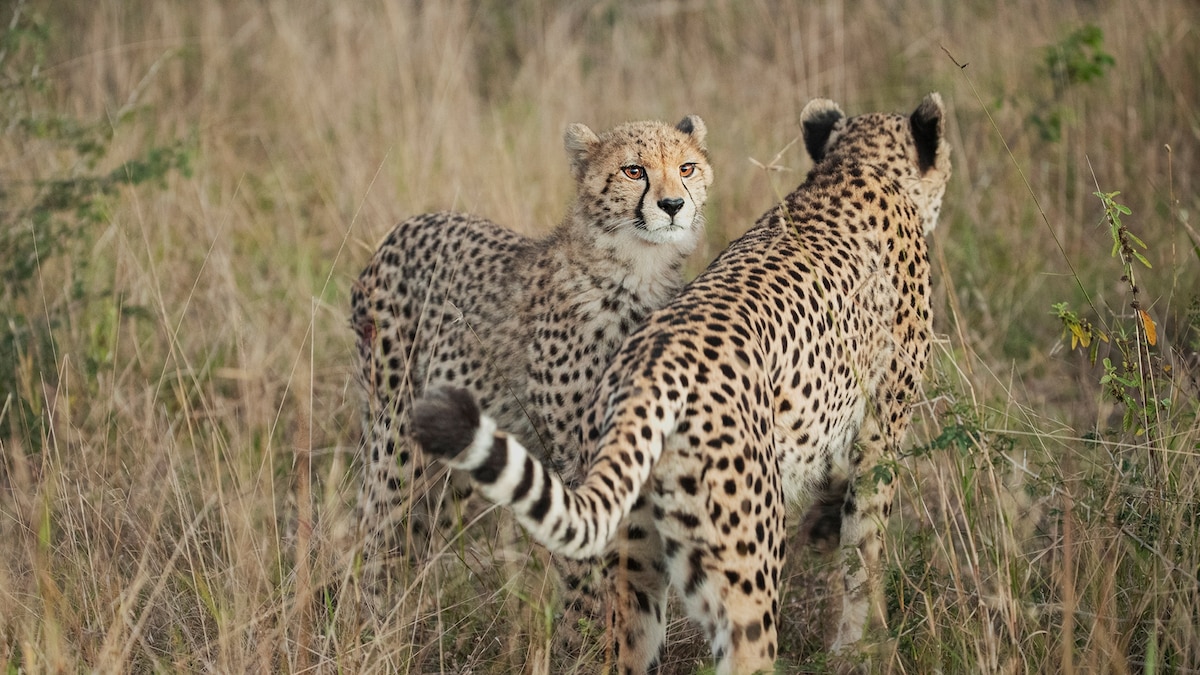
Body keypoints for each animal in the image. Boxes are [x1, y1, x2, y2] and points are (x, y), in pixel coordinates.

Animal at [352, 115, 710, 571]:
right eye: (634, 171)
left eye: (686, 168)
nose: (673, 205)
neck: (639, 268)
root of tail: (404, 228)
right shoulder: (573, 456)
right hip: (395, 429)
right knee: (373, 520)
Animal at [412, 91, 955, 667]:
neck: (856, 167)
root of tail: (649, 367)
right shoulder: (880, 431)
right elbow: (864, 551)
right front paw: (862, 646)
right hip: (744, 559)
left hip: (635, 562)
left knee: (624, 644)